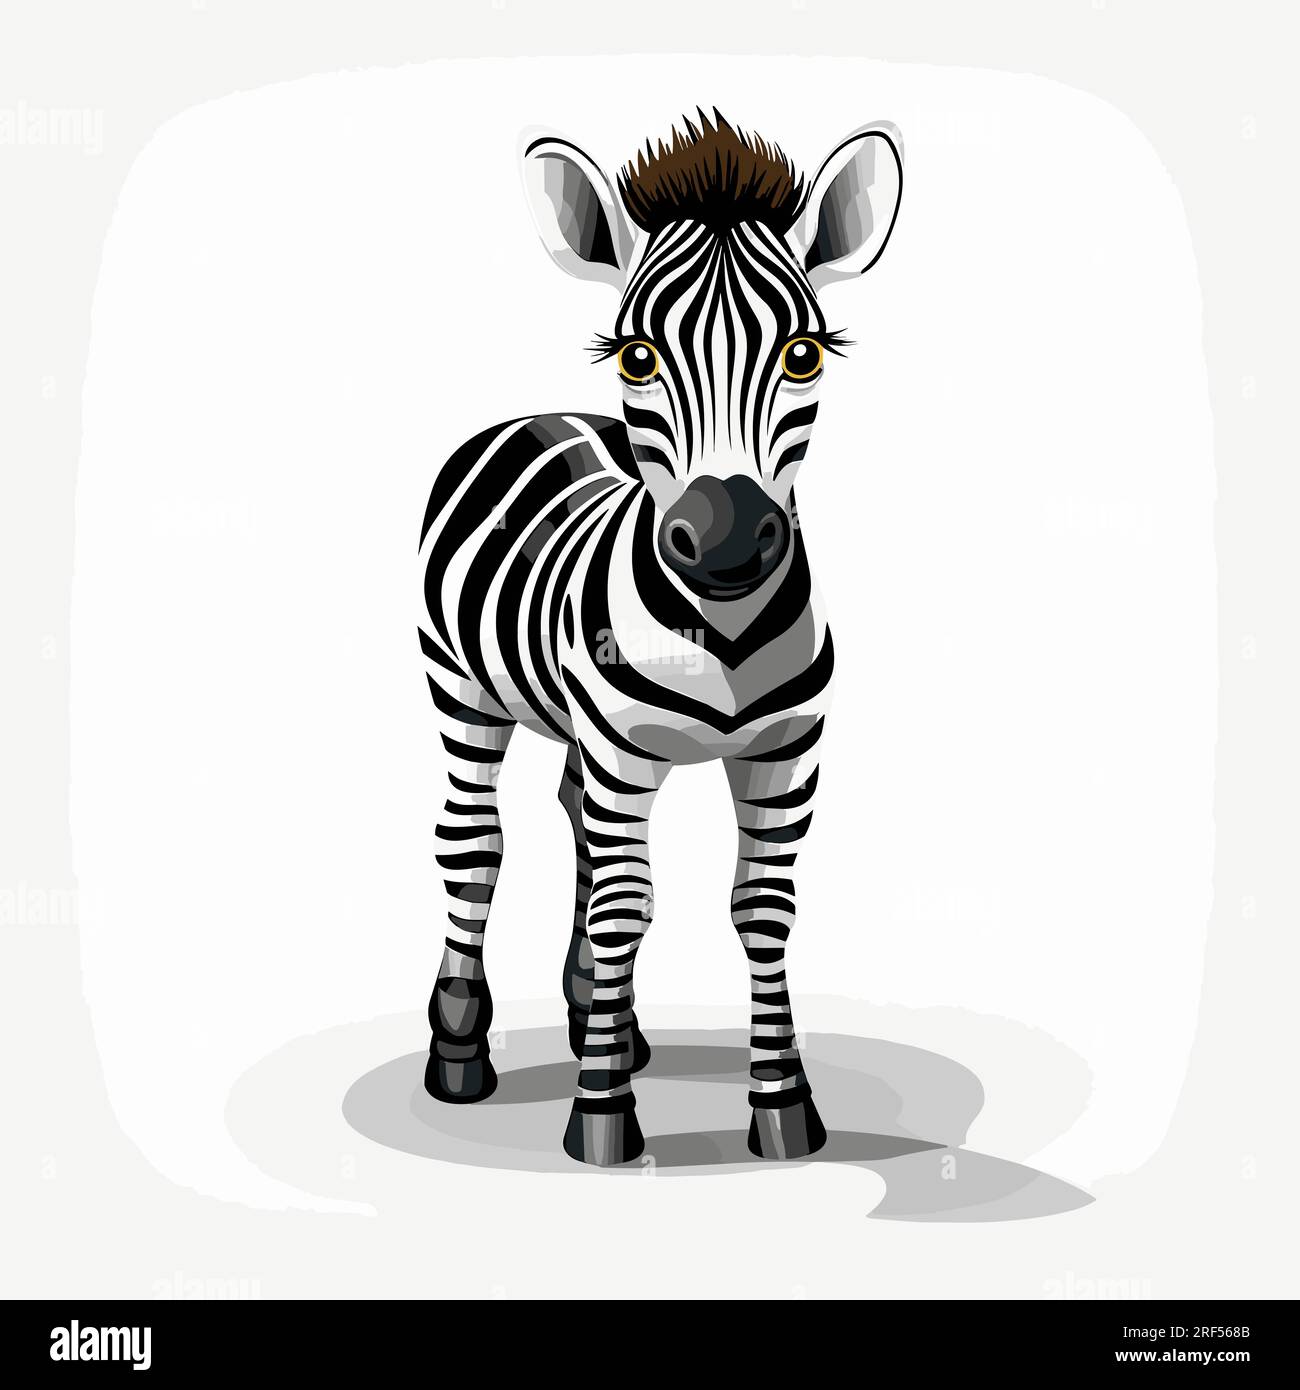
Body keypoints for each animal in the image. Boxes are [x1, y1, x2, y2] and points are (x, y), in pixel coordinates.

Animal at [418, 111, 903, 1166]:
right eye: (637, 356)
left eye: (805, 354)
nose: (724, 538)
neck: (718, 635)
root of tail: (541, 412)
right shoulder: (622, 755)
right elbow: (623, 909)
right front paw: (602, 1120)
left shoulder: (785, 754)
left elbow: (761, 911)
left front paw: (782, 1108)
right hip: (460, 690)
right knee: (475, 842)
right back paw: (460, 1050)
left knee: (574, 823)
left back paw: (604, 1020)